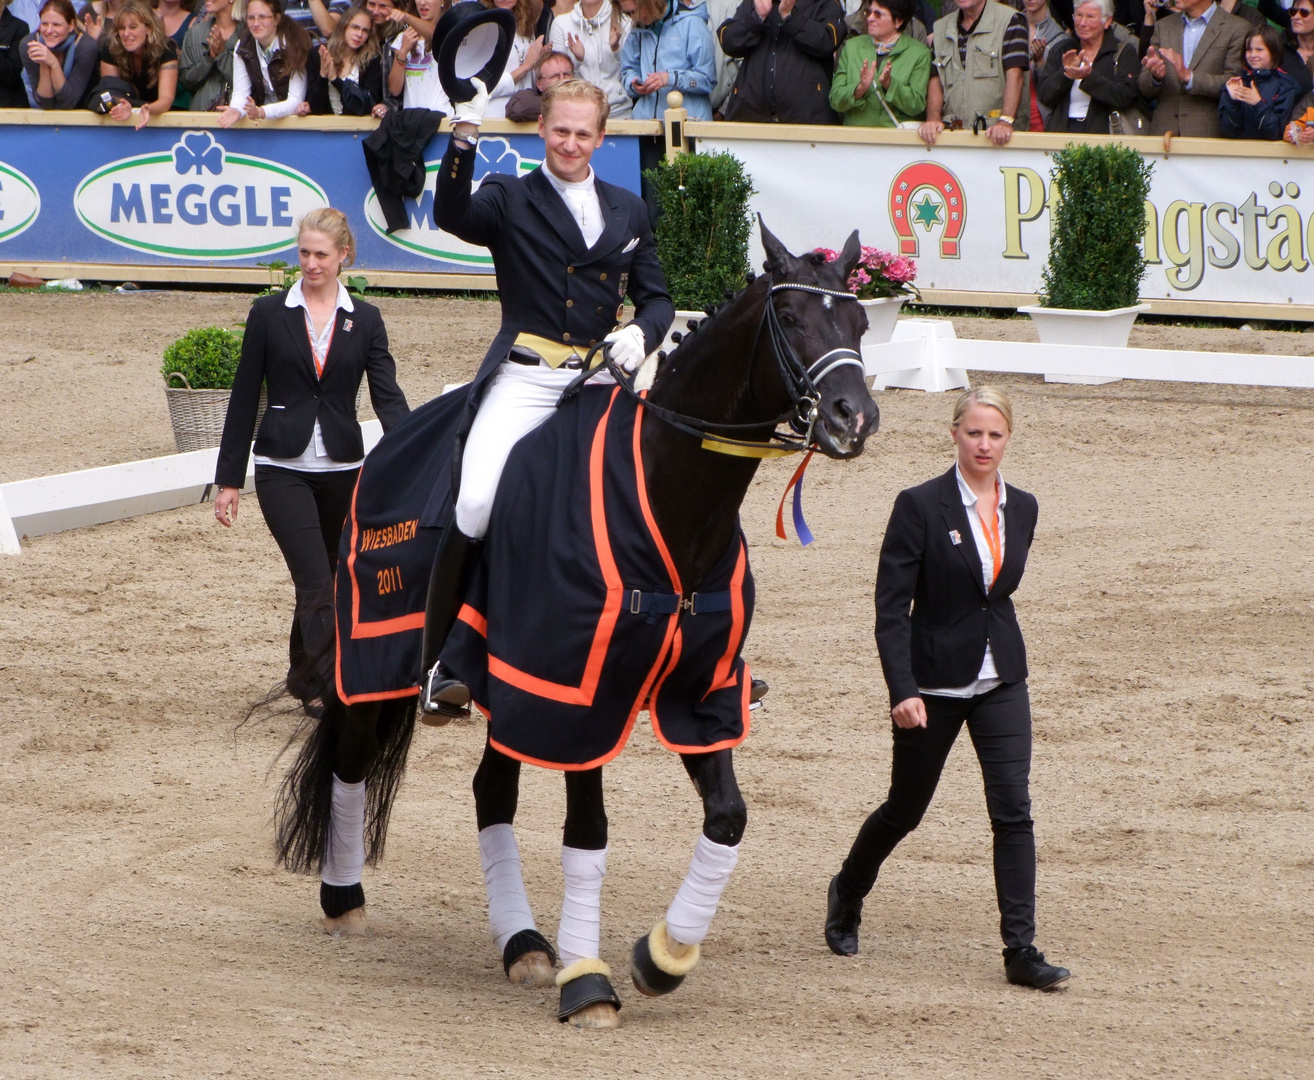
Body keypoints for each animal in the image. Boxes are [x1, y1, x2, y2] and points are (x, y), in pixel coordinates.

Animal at [270, 222, 877, 1030]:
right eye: (792, 317)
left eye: (862, 323)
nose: (853, 418)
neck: (673, 497)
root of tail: (390, 443)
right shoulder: (576, 693)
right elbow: (589, 834)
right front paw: (590, 985)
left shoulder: (696, 695)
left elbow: (729, 817)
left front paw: (662, 958)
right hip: (385, 660)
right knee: (352, 759)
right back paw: (346, 901)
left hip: (504, 687)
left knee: (490, 792)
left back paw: (523, 943)